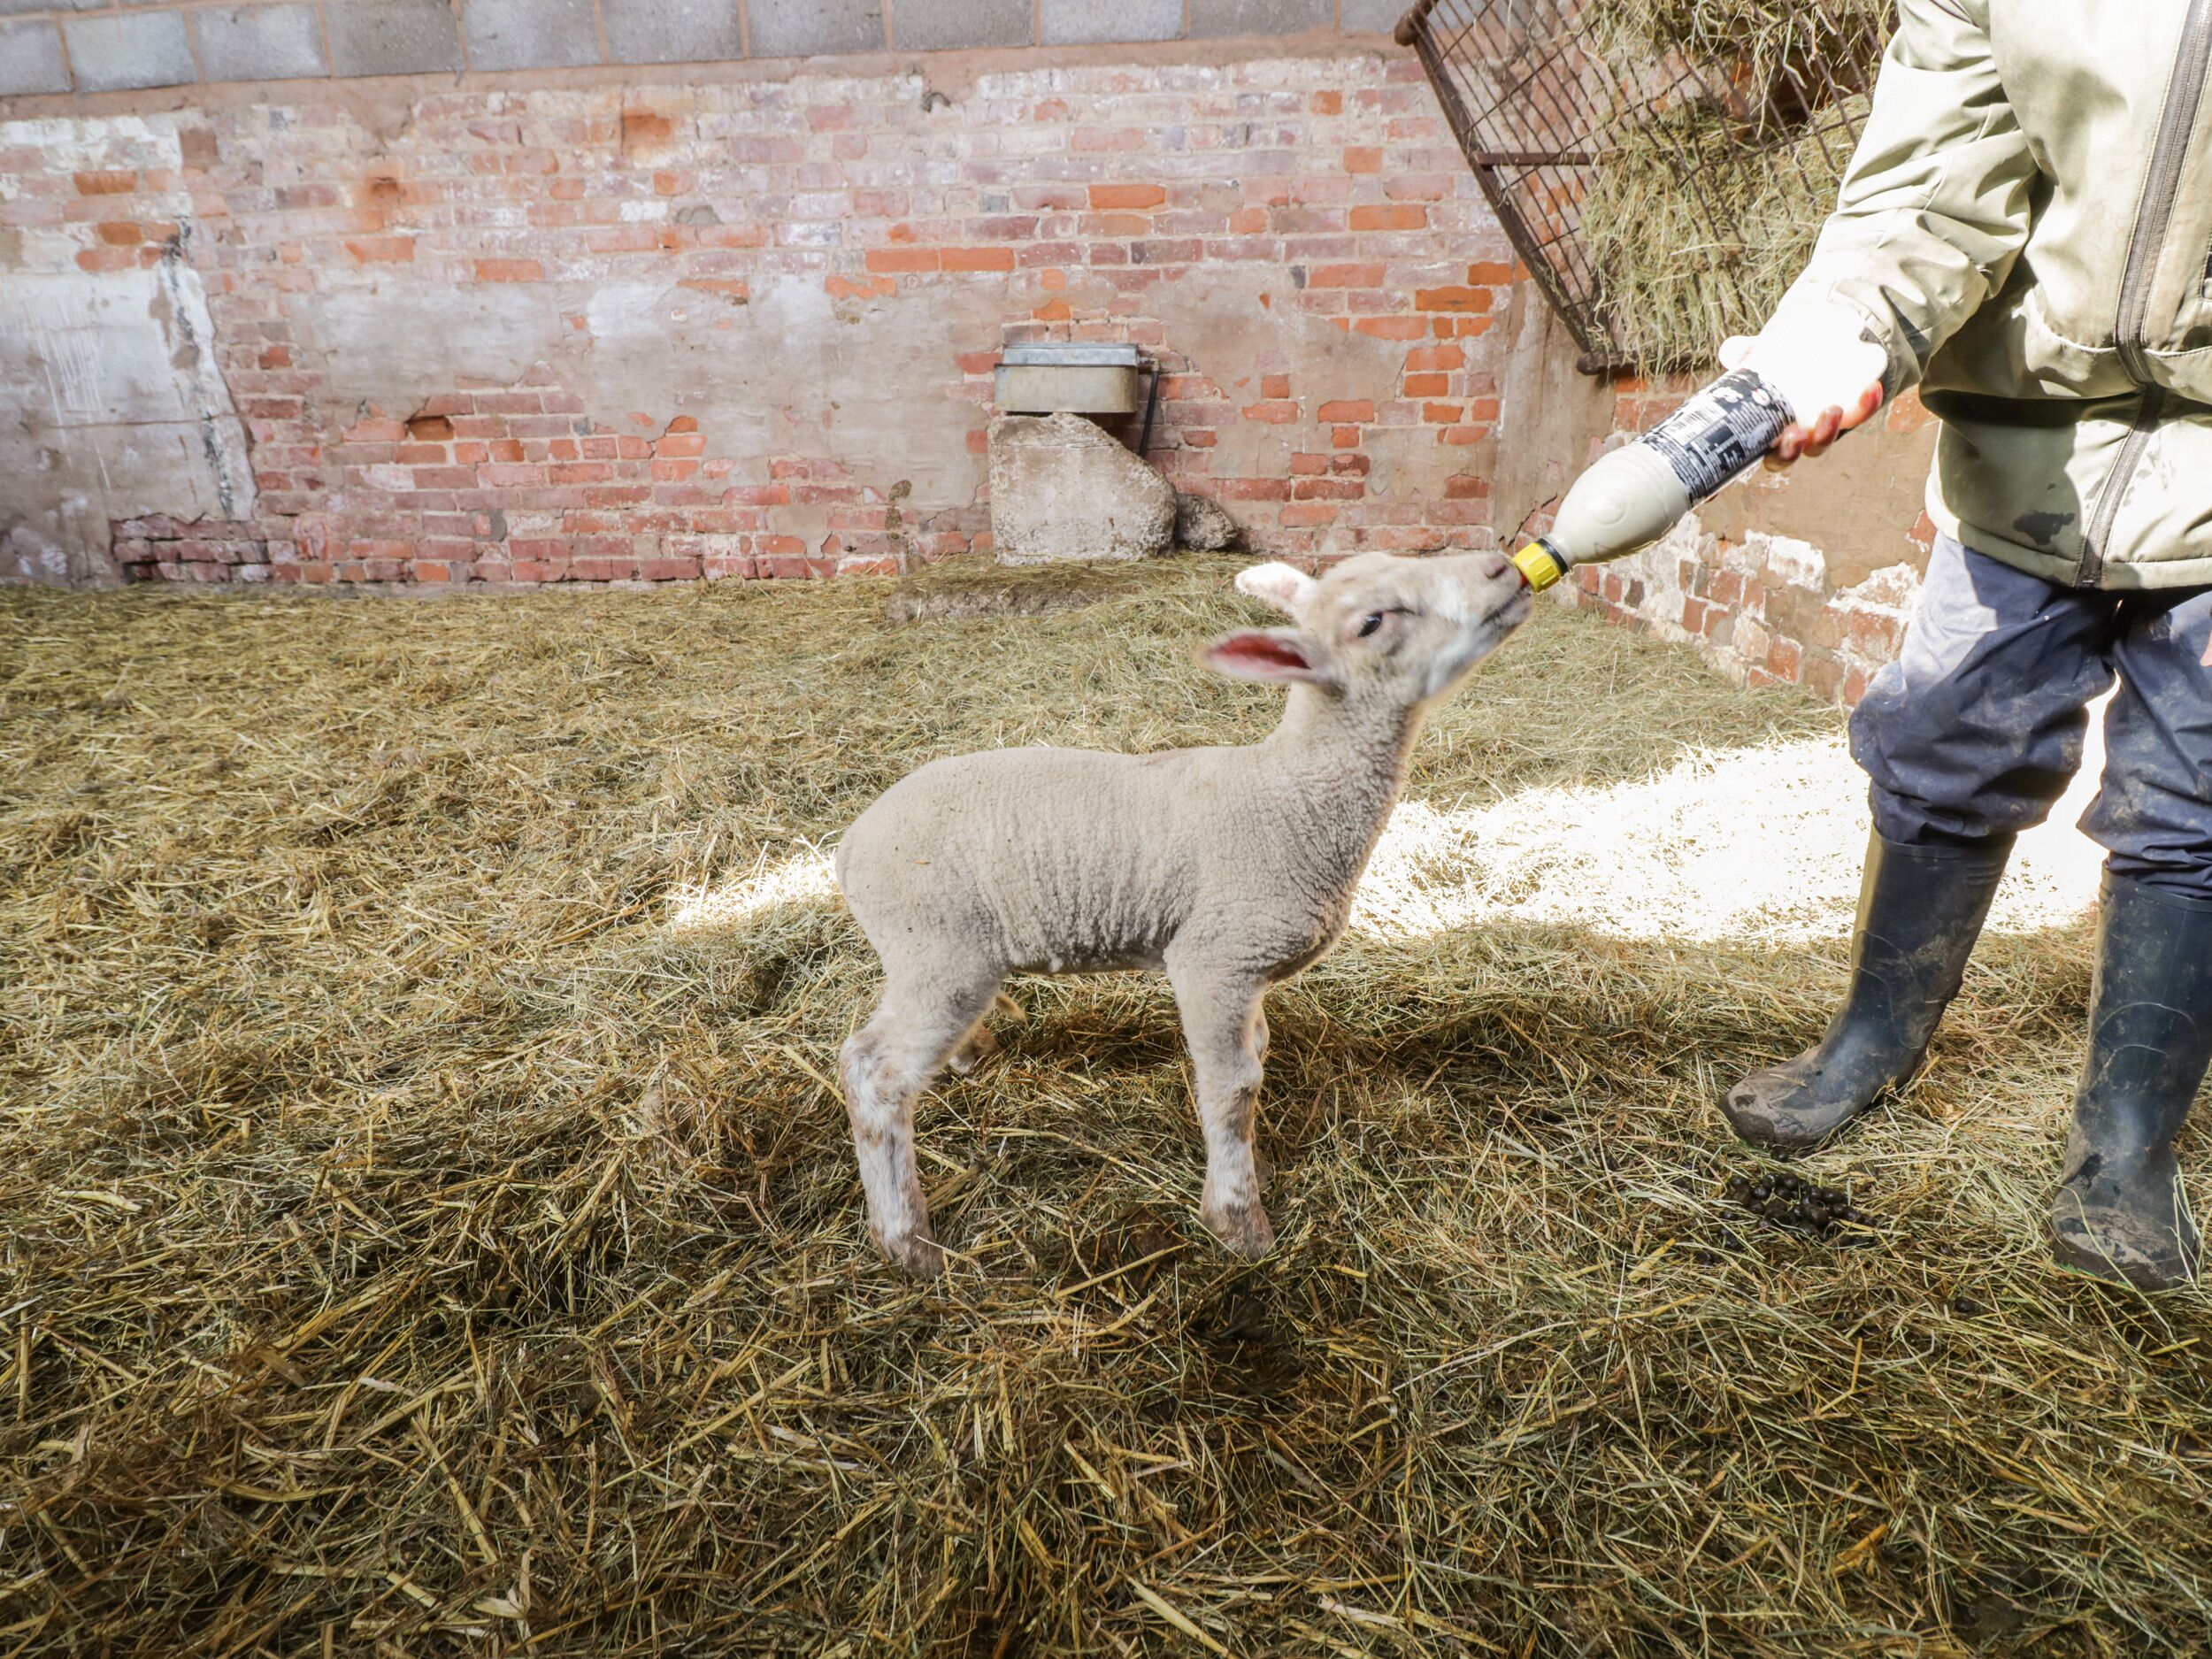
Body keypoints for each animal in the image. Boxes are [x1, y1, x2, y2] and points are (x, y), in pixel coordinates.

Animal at [834, 551, 1533, 1274]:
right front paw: (1238, 1221)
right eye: (1372, 621)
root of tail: (851, 844)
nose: (1502, 566)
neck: (1293, 794)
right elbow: (1233, 1088)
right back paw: (906, 1240)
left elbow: (1258, 1053)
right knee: (872, 1074)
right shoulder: (1215, 960)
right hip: (939, 950)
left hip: (936, 957)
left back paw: (972, 1056)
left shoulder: (1248, 975)